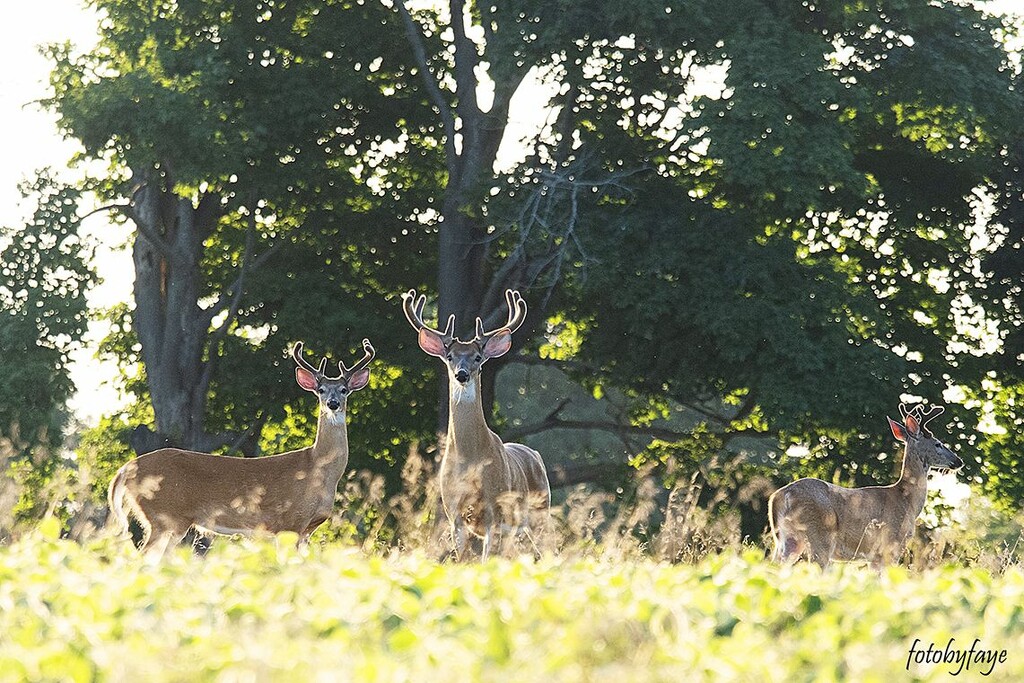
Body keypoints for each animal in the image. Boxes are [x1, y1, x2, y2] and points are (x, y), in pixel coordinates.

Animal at [105, 339, 376, 557]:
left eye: (344, 389)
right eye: (320, 390)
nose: (333, 403)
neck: (318, 468)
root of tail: (124, 470)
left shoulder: (305, 530)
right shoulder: (288, 522)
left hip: (170, 523)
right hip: (164, 516)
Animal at [401, 288, 552, 561]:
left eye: (478, 357)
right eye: (450, 356)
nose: (462, 374)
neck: (470, 459)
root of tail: (534, 454)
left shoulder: (495, 511)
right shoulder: (454, 515)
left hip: (539, 512)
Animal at [770, 403, 962, 569]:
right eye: (938, 443)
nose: (958, 461)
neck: (907, 500)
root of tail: (781, 496)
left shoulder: (874, 556)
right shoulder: (891, 544)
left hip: (786, 538)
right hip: (820, 534)